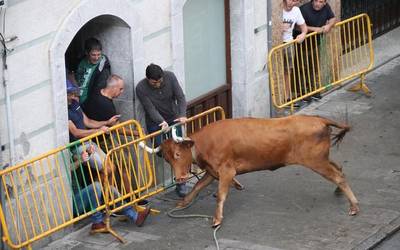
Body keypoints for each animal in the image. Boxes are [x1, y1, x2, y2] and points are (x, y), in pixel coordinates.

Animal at [158, 115, 358, 227]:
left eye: (177, 154)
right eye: (167, 159)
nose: (179, 178)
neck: (203, 144)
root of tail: (319, 119)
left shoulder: (226, 171)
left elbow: (221, 194)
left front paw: (217, 219)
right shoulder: (211, 171)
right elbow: (197, 186)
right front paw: (183, 203)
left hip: (316, 161)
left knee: (338, 176)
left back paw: (354, 206)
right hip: (321, 159)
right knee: (339, 168)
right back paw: (339, 192)